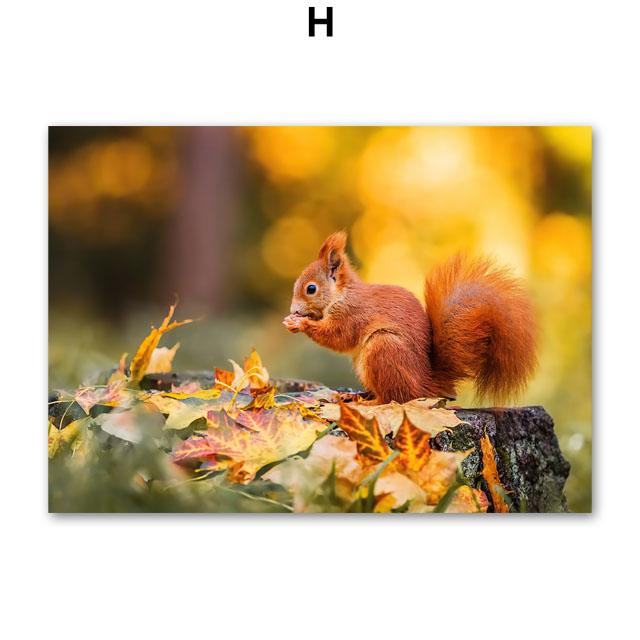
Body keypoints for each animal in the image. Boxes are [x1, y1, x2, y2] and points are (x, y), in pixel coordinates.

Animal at [283, 231, 537, 405]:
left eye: (311, 289)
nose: (293, 310)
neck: (341, 294)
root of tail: (425, 384)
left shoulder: (351, 314)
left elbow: (337, 337)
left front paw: (300, 323)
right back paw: (356, 395)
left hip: (383, 349)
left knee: (394, 398)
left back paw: (370, 402)